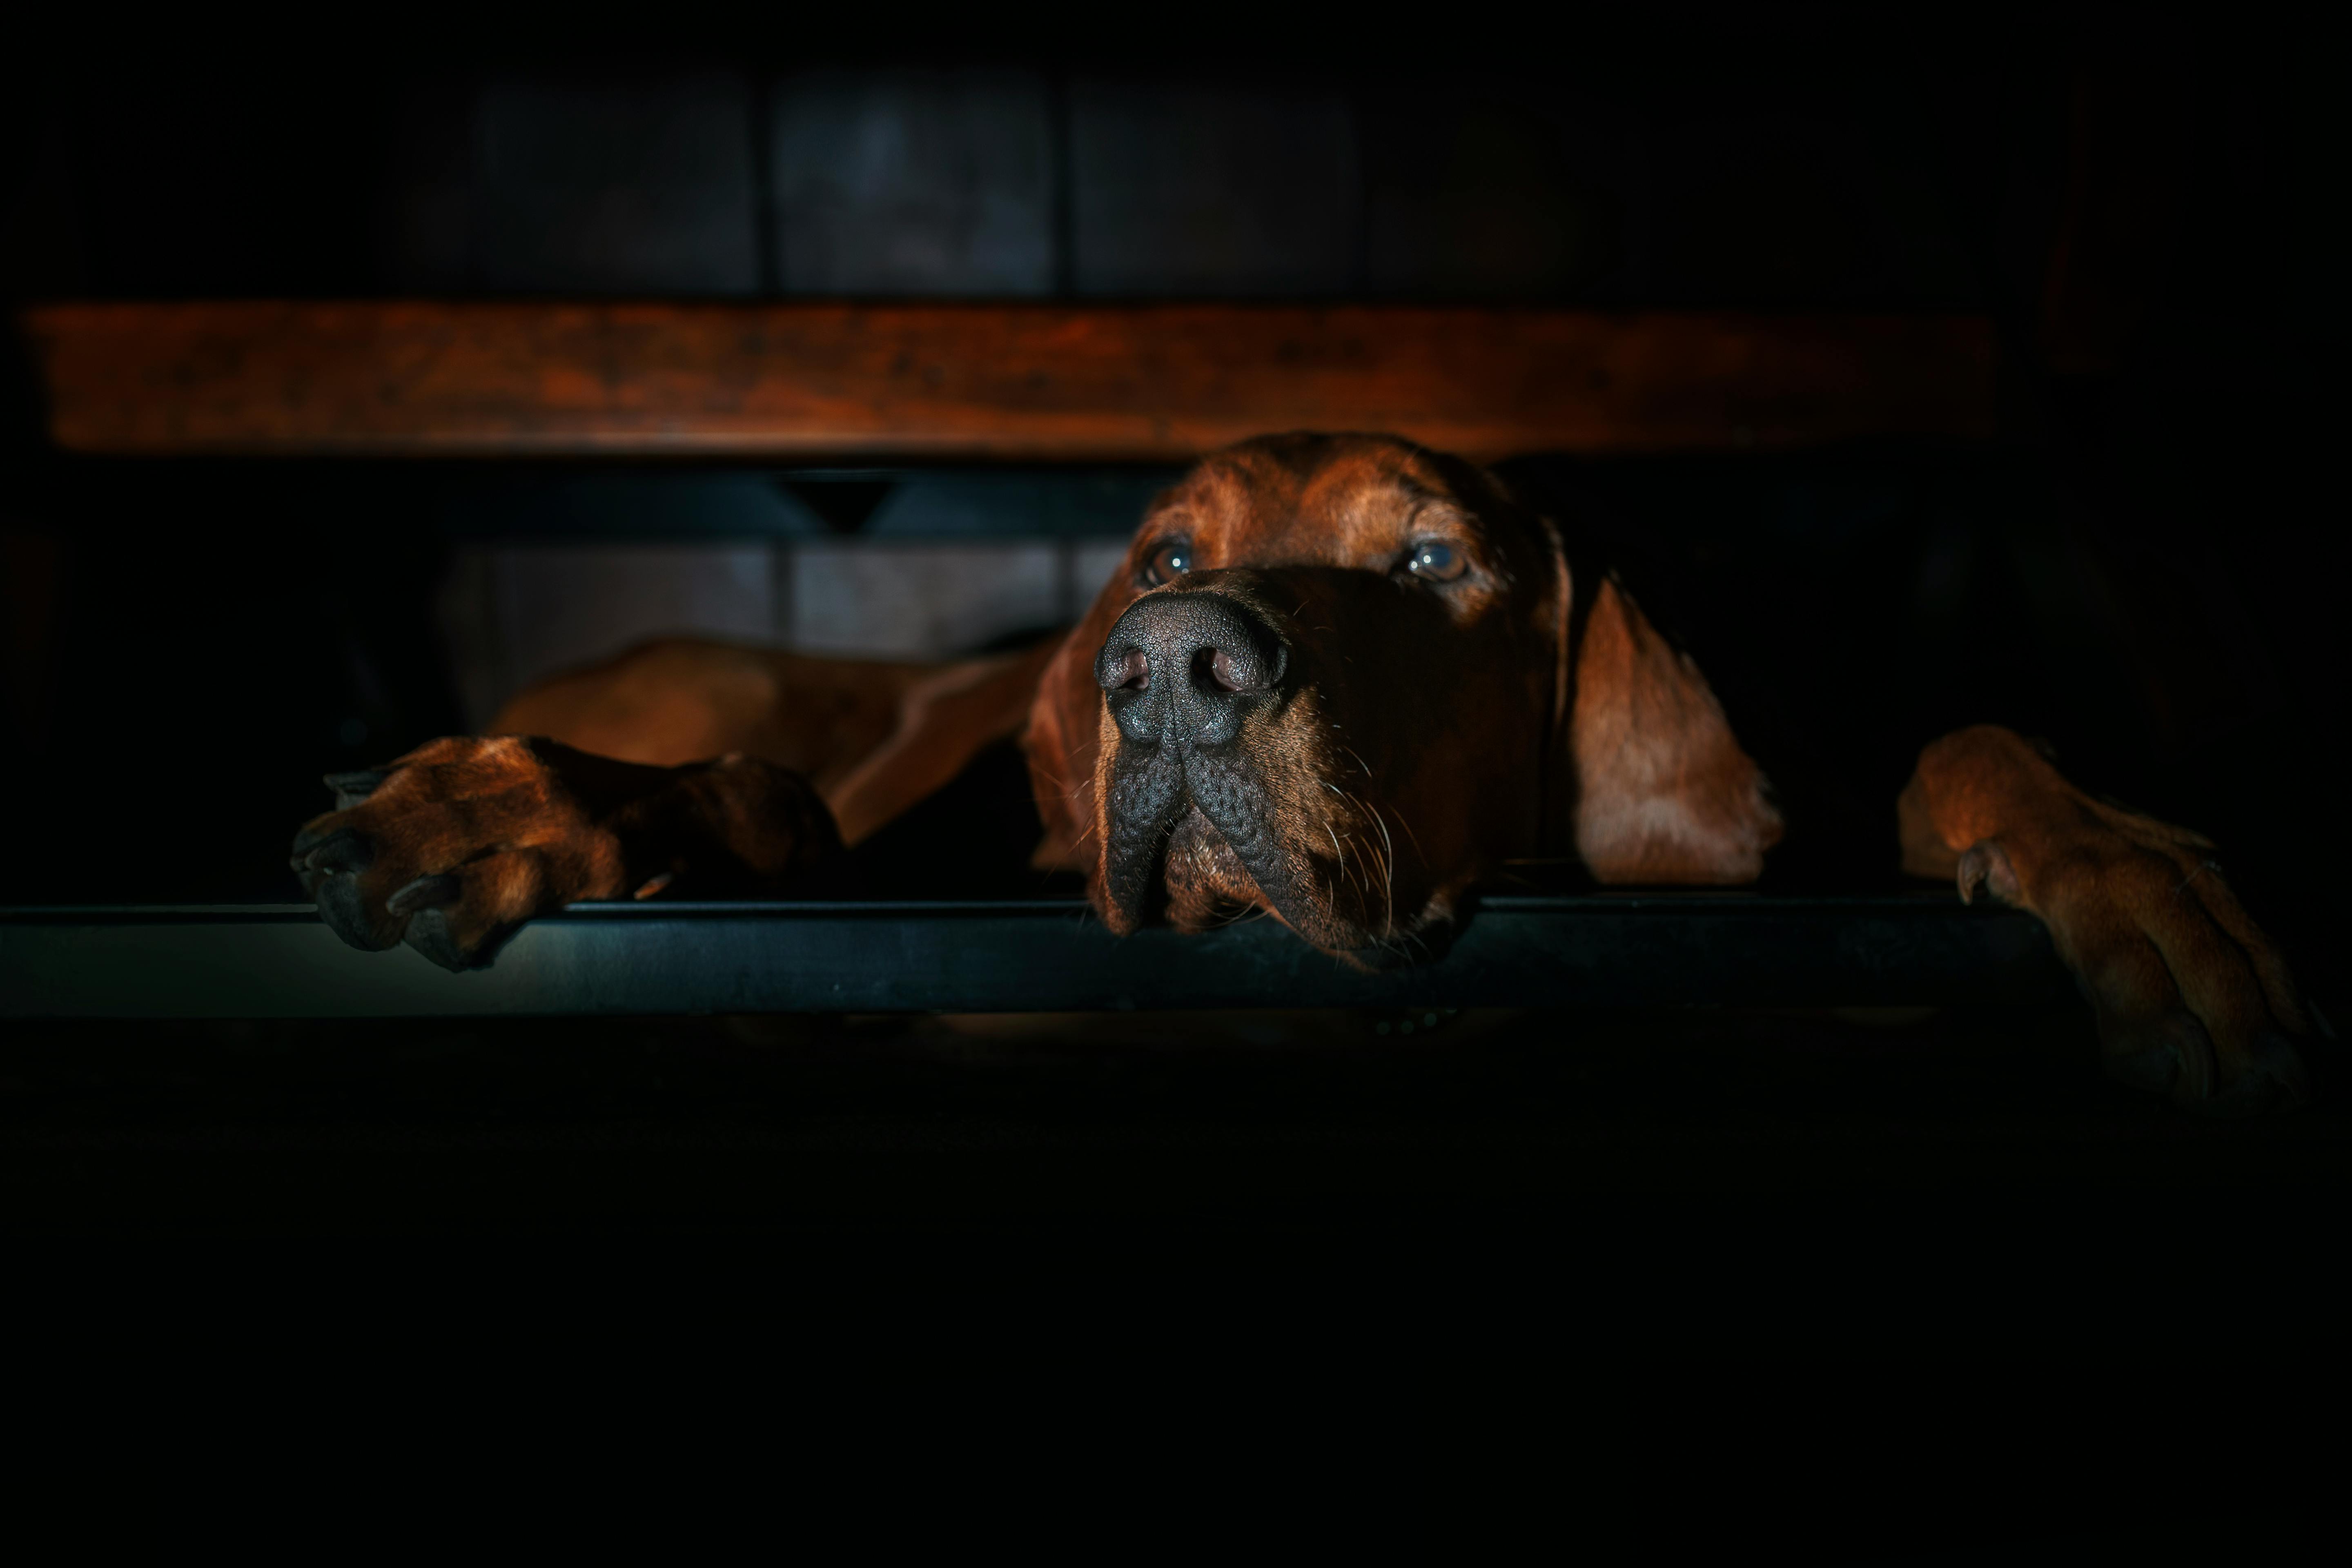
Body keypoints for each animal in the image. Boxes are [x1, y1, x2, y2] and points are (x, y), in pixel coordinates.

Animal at [289, 435, 2314, 1109]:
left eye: (1432, 562)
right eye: (1167, 554)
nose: (1172, 676)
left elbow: (1966, 741)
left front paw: (2127, 868)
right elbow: (760, 804)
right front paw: (507, 805)